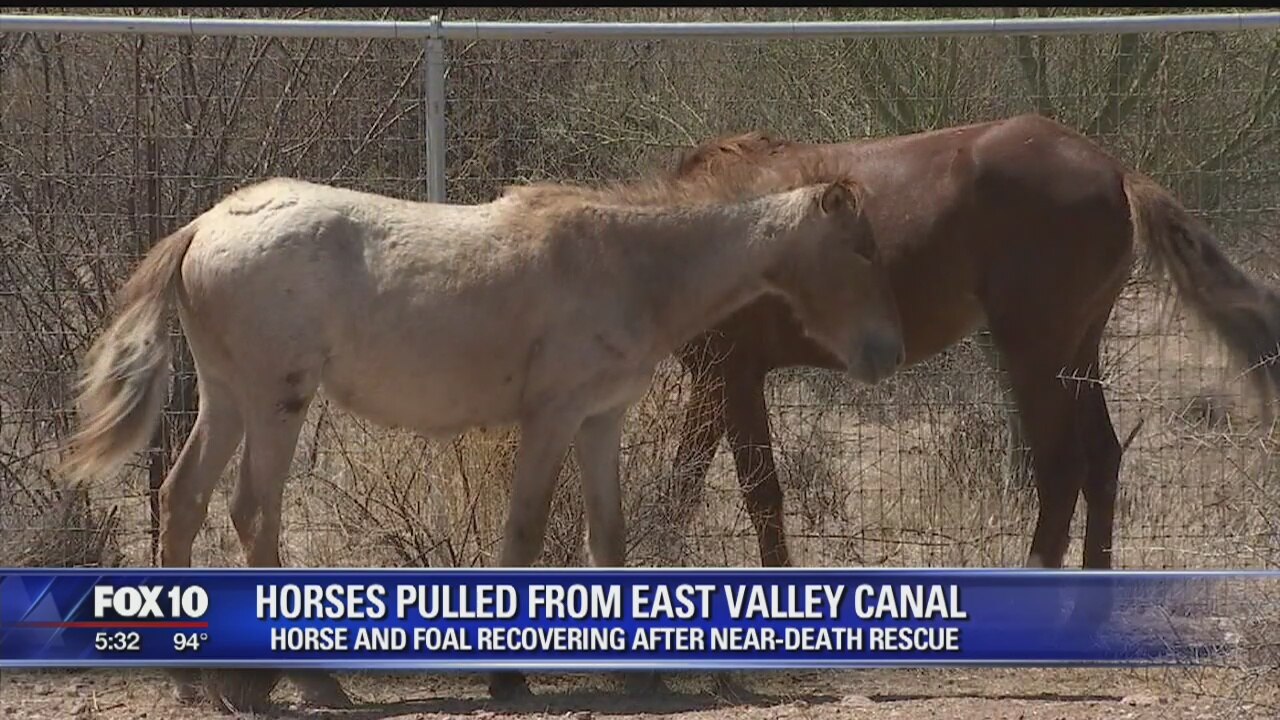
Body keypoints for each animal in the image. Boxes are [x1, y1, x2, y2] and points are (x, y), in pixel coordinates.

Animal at [58, 156, 905, 708]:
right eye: (859, 249)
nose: (887, 353)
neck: (629, 262)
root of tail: (206, 225)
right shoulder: (554, 419)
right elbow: (525, 530)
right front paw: (507, 676)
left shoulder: (599, 423)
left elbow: (608, 539)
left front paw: (641, 674)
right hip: (275, 406)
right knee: (252, 516)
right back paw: (303, 681)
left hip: (229, 400)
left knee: (183, 502)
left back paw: (190, 678)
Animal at [664, 113, 1280, 573]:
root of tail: (1116, 171)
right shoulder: (715, 377)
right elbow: (684, 483)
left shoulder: (735, 371)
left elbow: (758, 491)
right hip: (1078, 350)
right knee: (1103, 457)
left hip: (1034, 352)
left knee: (1062, 467)